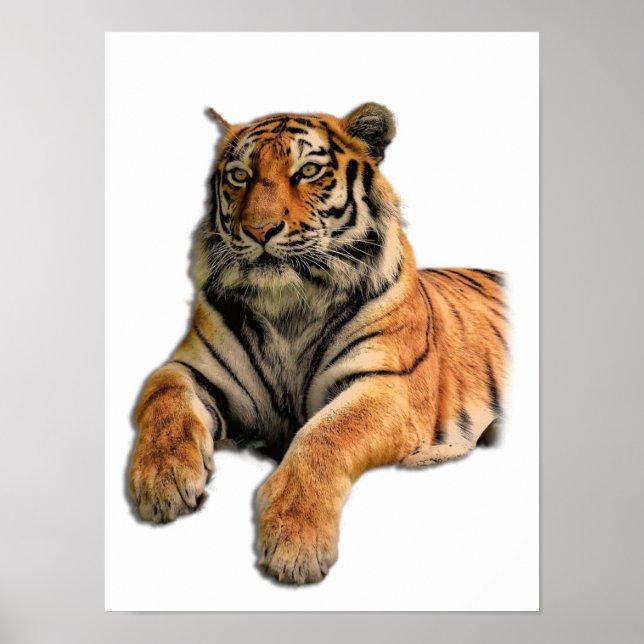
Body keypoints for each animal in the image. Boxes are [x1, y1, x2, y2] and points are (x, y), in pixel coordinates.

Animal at [128, 102, 508, 584]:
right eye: (239, 176)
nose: (260, 230)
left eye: (308, 170)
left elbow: (327, 432)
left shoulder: (388, 384)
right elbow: (163, 394)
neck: (288, 305)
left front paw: (295, 540)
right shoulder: (192, 367)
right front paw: (163, 479)